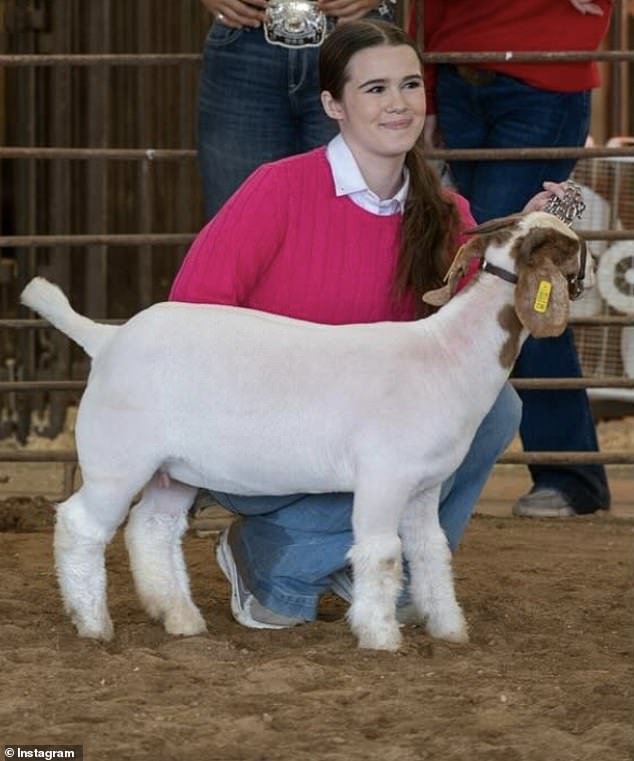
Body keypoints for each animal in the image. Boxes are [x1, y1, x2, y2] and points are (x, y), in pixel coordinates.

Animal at [19, 211, 592, 652]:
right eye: (568, 247)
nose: (587, 253)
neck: (447, 356)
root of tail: (106, 338)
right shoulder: (384, 477)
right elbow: (382, 554)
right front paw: (380, 636)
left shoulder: (424, 487)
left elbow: (431, 552)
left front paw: (449, 628)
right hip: (116, 459)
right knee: (81, 525)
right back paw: (94, 624)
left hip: (174, 470)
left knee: (152, 529)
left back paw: (181, 619)